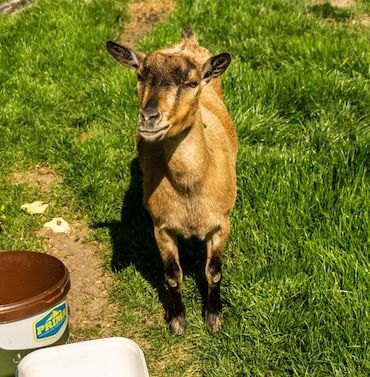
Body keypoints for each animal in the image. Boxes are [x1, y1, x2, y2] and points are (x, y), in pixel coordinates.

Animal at [107, 29, 237, 332]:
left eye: (191, 82)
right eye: (140, 76)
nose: (149, 118)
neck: (191, 188)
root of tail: (187, 41)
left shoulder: (221, 224)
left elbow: (213, 273)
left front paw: (214, 317)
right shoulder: (162, 227)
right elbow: (172, 276)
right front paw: (177, 320)